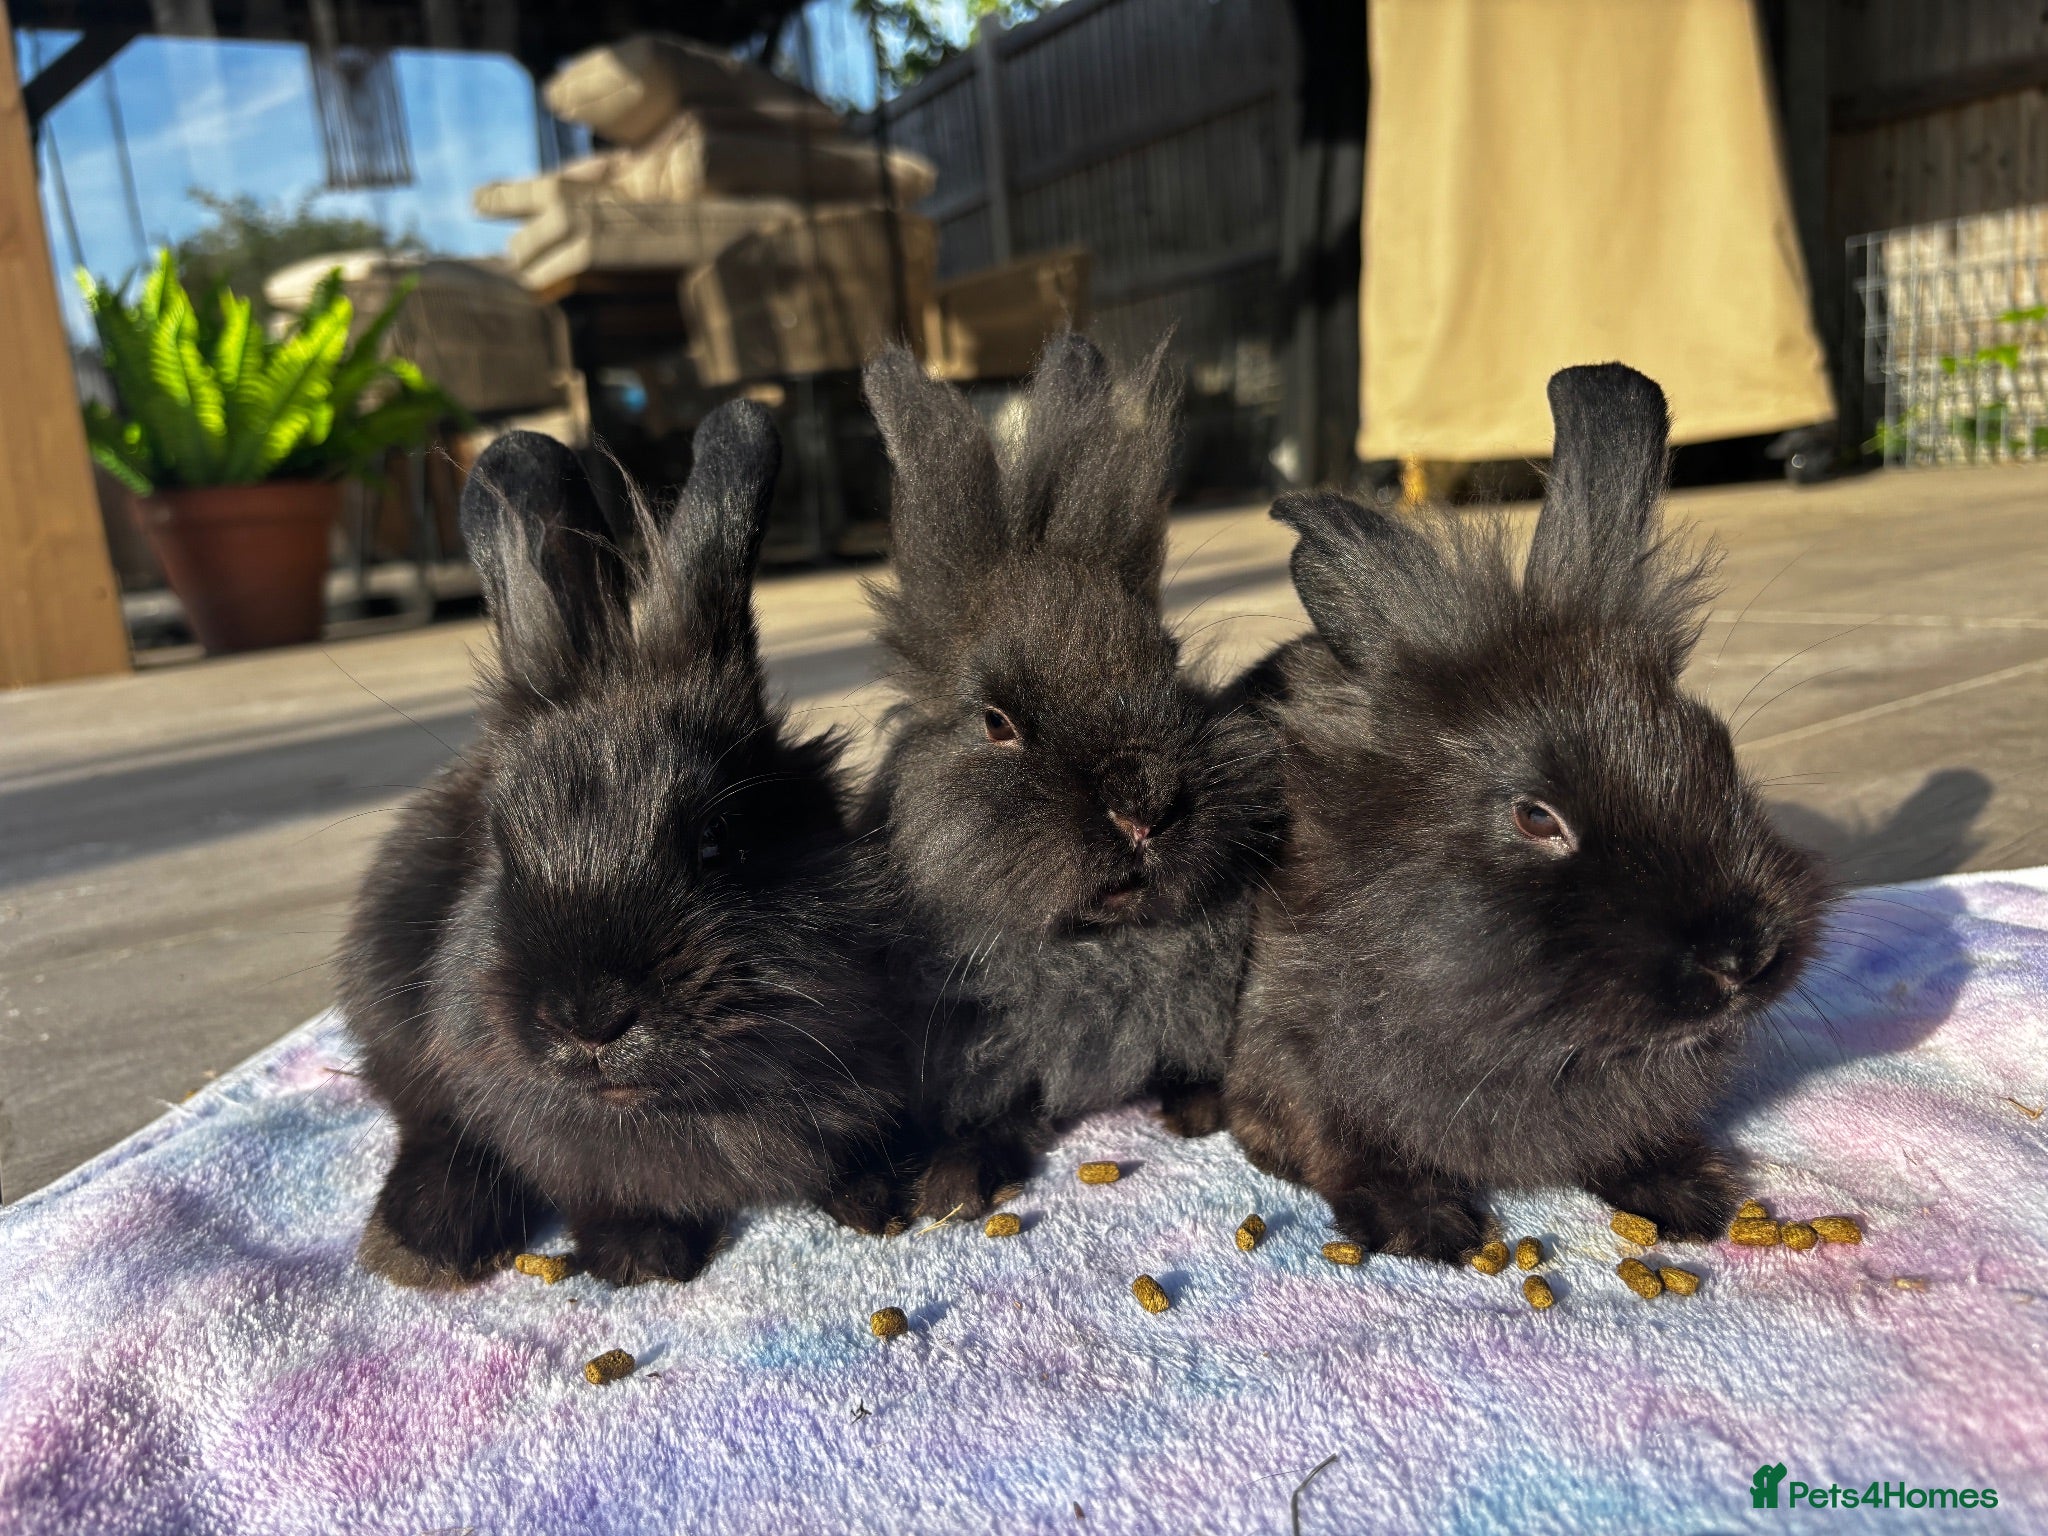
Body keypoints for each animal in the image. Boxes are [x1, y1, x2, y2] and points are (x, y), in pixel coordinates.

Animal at [338, 403, 907, 1289]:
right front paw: (638, 1256)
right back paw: (422, 1245)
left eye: (717, 841)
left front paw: (883, 1198)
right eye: (500, 851)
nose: (589, 1022)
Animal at [857, 333, 1285, 1218]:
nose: (1142, 805)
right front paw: (953, 1188)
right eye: (996, 722)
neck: (1095, 947)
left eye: (1170, 664)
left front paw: (1199, 1111)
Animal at [1224, 362, 1832, 1262]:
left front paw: (1688, 1194)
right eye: (1536, 819)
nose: (1741, 957)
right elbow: (1339, 1145)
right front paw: (1424, 1225)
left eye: (1716, 751)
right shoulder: (1286, 1060)